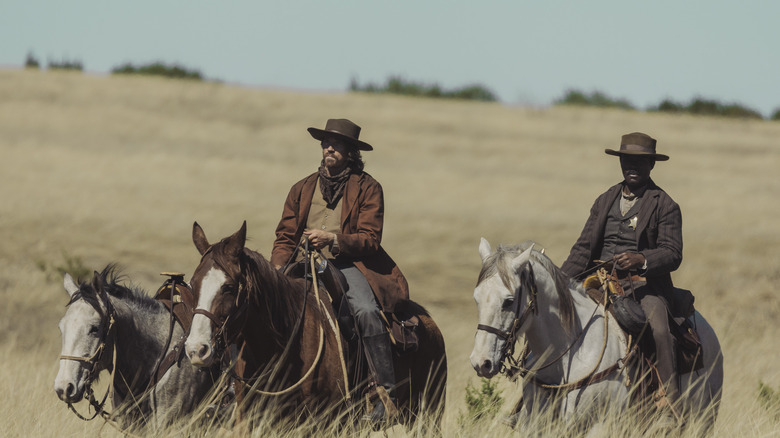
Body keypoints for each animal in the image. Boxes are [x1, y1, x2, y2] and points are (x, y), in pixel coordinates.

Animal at [466, 243, 724, 432]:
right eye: (476, 297)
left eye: (509, 301)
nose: (481, 362)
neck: (568, 353)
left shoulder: (597, 427)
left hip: (704, 419)